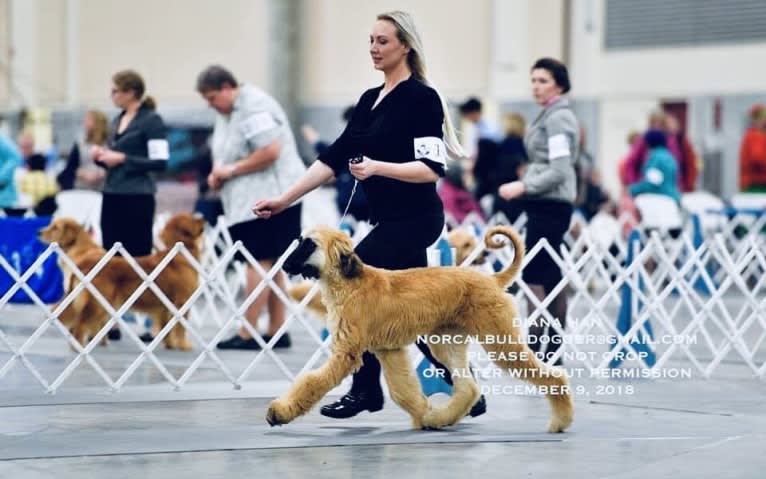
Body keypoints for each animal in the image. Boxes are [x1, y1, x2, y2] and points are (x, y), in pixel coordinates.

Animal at [56, 214, 207, 352]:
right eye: (193, 219)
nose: (204, 218)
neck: (182, 254)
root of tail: (83, 264)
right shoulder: (182, 302)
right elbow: (181, 328)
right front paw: (183, 345)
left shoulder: (164, 307)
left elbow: (167, 329)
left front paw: (170, 345)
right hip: (97, 304)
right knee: (79, 324)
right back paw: (80, 348)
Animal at [270, 227, 576, 434]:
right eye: (300, 240)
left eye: (309, 244)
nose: (284, 264)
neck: (350, 282)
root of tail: (492, 279)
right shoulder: (389, 350)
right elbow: (403, 391)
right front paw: (424, 415)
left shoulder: (347, 353)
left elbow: (312, 381)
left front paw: (280, 412)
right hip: (446, 342)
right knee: (467, 387)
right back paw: (442, 418)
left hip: (500, 342)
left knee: (554, 376)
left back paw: (560, 421)